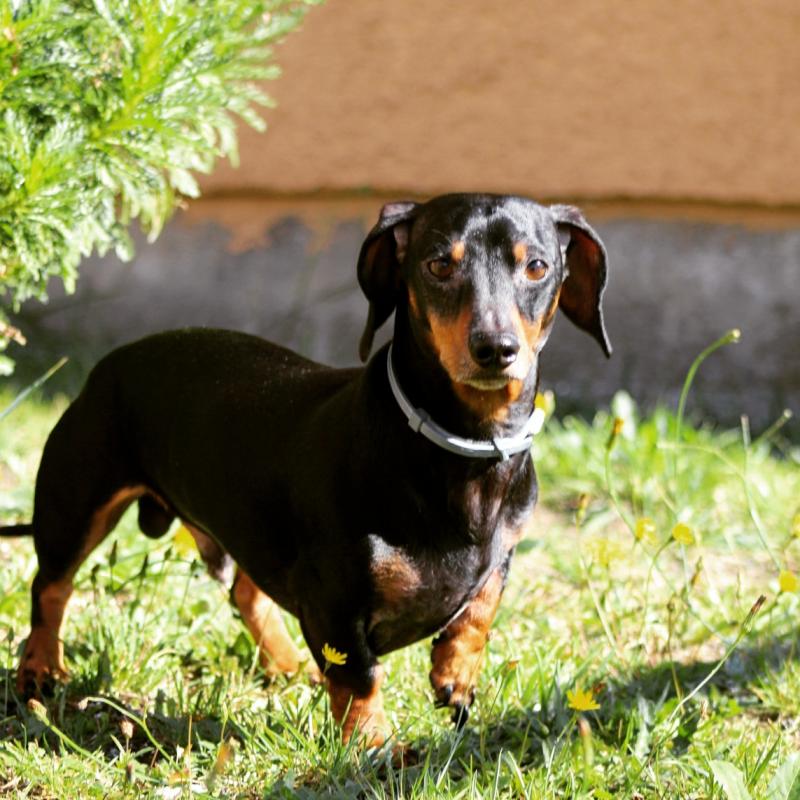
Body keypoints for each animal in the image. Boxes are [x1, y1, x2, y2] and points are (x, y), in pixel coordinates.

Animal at [1, 192, 612, 744]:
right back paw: (39, 668)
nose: (496, 349)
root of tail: (111, 362)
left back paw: (287, 663)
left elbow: (480, 605)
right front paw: (373, 747)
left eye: (537, 266)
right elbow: (359, 676)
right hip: (76, 504)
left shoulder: (503, 550)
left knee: (245, 593)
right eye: (439, 264)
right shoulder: (332, 599)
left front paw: (455, 673)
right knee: (50, 586)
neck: (462, 449)